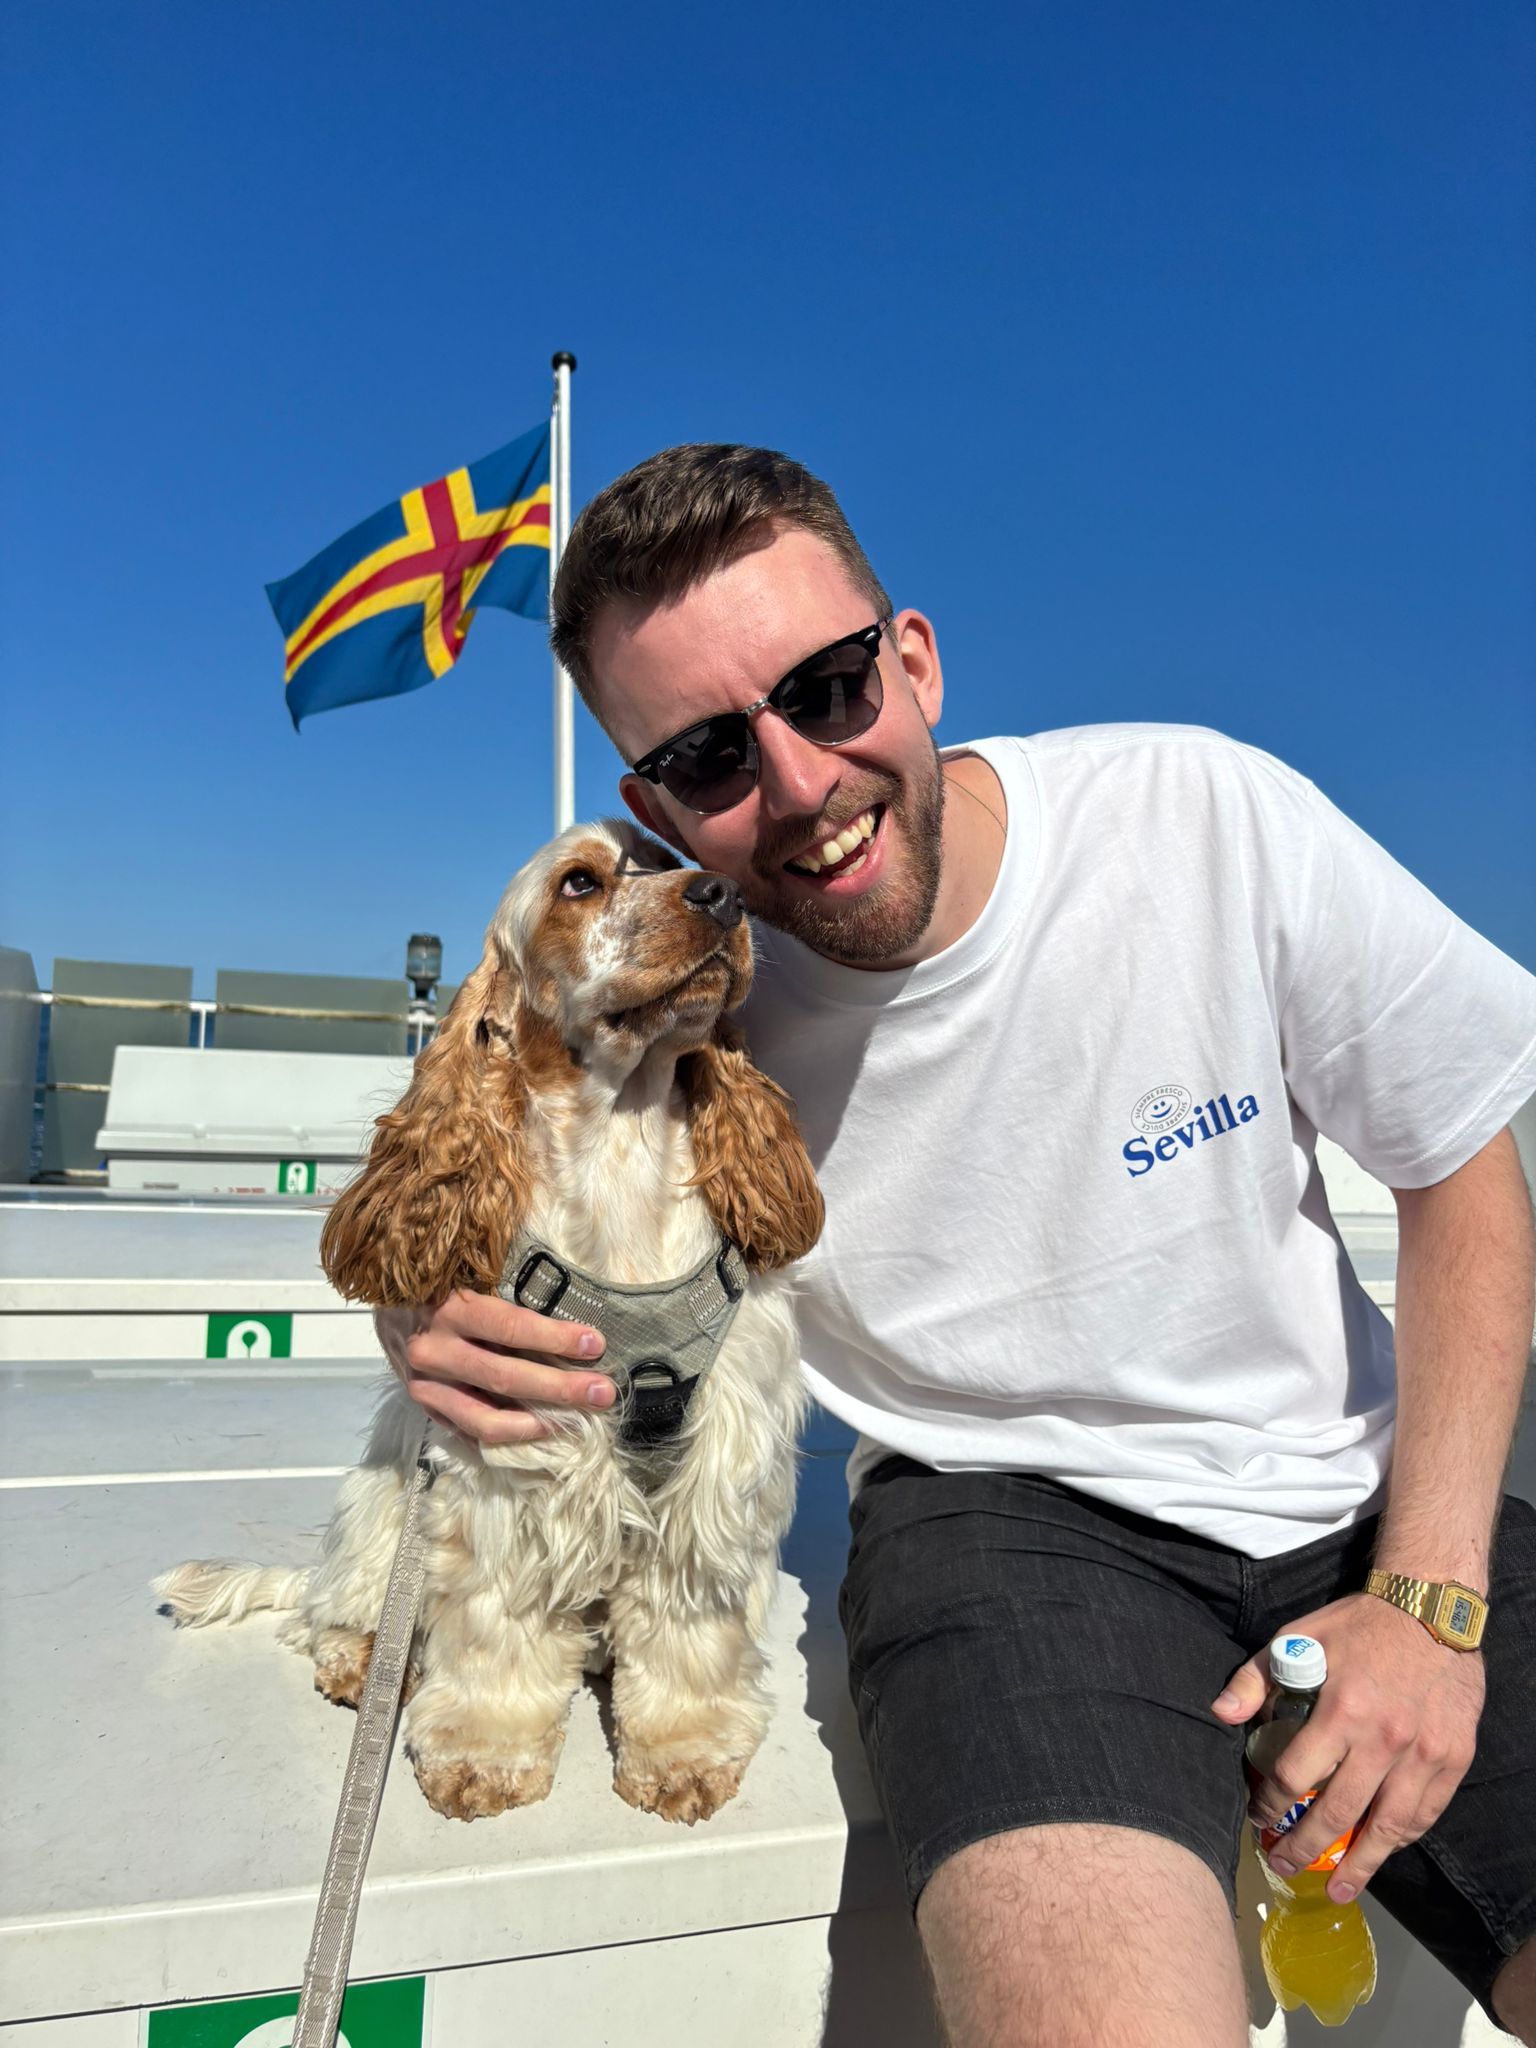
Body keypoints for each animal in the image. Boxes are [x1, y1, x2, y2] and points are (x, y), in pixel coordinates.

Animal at [155, 819, 823, 1826]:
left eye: (670, 857)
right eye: (579, 884)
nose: (720, 894)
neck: (621, 1153)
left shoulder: (718, 1458)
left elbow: (686, 1621)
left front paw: (682, 1752)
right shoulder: (513, 1452)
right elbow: (500, 1620)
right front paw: (485, 1754)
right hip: (383, 1501)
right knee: (332, 1606)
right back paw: (363, 1661)